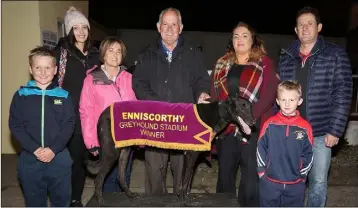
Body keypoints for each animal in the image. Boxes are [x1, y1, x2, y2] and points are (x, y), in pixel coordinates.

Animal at [89, 96, 255, 206]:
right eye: (241, 106)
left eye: (250, 106)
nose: (254, 122)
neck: (215, 113)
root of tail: (103, 113)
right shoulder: (191, 154)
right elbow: (185, 179)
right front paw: (184, 200)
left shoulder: (191, 154)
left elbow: (187, 180)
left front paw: (185, 196)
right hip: (111, 152)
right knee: (99, 179)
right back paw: (101, 202)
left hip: (124, 150)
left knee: (120, 176)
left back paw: (130, 195)